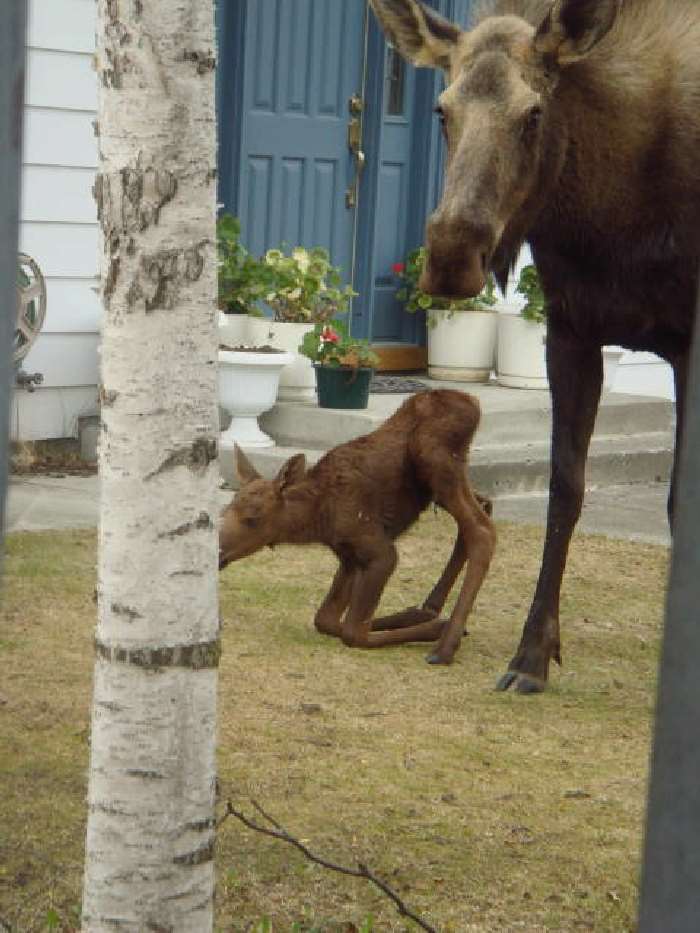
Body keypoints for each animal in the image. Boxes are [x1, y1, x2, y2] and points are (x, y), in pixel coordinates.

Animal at [220, 388, 498, 664]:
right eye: (225, 510)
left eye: (253, 518)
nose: (219, 554)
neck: (317, 519)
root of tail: (474, 403)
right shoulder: (348, 555)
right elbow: (325, 620)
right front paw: (414, 618)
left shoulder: (380, 551)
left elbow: (353, 633)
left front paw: (433, 629)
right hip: (440, 484)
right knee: (484, 505)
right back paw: (430, 609)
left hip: (436, 461)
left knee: (482, 530)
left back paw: (445, 645)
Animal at [370, 0, 696, 688]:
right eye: (441, 110)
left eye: (534, 113)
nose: (451, 255)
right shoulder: (570, 332)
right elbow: (565, 490)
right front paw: (534, 652)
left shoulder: (689, 347)